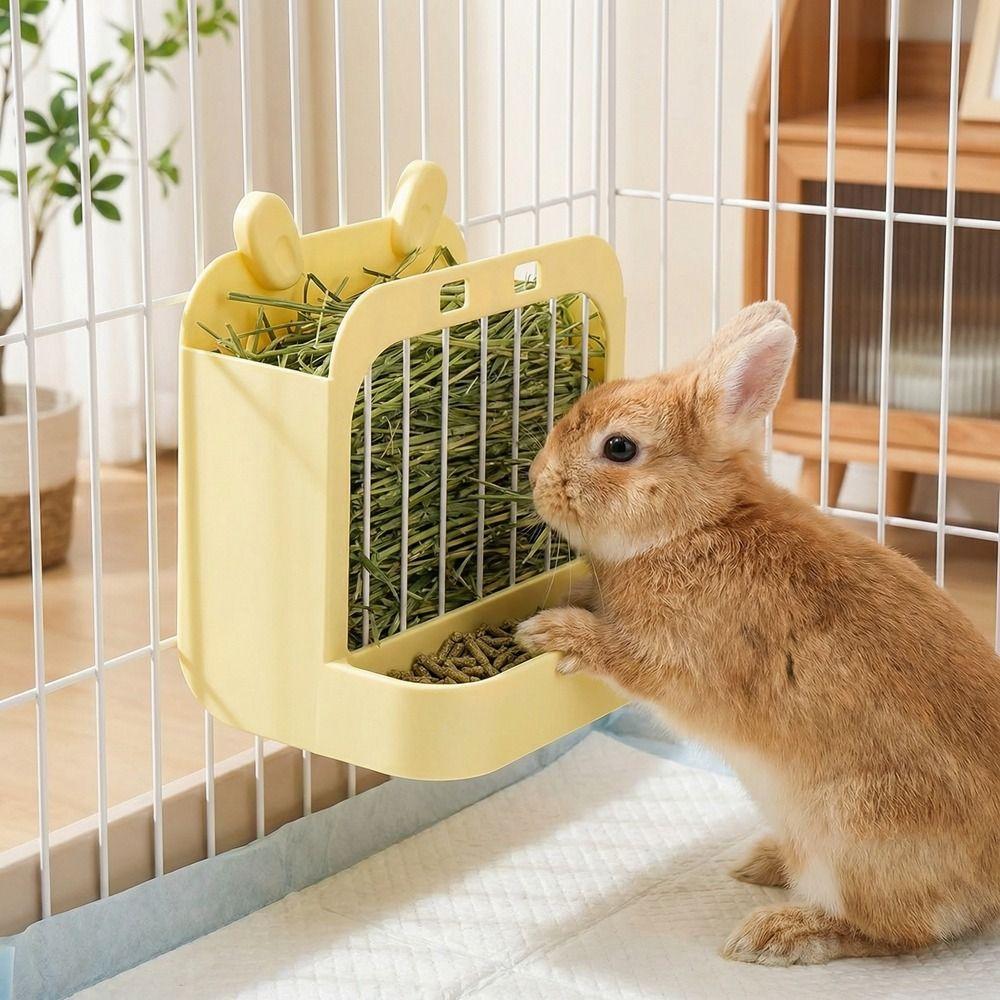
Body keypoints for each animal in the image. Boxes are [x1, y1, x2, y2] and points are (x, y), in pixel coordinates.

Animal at [516, 301, 1000, 966]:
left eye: (618, 448)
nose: (537, 477)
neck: (693, 525)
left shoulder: (683, 660)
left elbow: (629, 659)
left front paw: (555, 632)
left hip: (854, 835)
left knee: (895, 932)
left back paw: (778, 932)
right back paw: (762, 860)